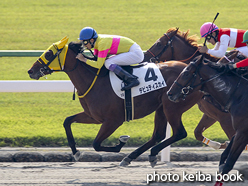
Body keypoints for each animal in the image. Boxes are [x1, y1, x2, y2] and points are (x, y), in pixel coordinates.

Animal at [27, 36, 205, 167]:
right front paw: (75, 152)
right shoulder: (93, 117)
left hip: (172, 106)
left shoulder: (113, 120)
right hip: (161, 107)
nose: (30, 71)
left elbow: (96, 144)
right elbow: (67, 121)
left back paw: (143, 154)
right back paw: (135, 157)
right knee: (158, 134)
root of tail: (193, 70)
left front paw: (121, 142)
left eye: (49, 54)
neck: (95, 81)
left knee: (179, 132)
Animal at [167, 55, 248, 186]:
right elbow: (223, 158)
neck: (239, 95)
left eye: (186, 73)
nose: (169, 93)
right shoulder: (238, 131)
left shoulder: (242, 132)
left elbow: (228, 164)